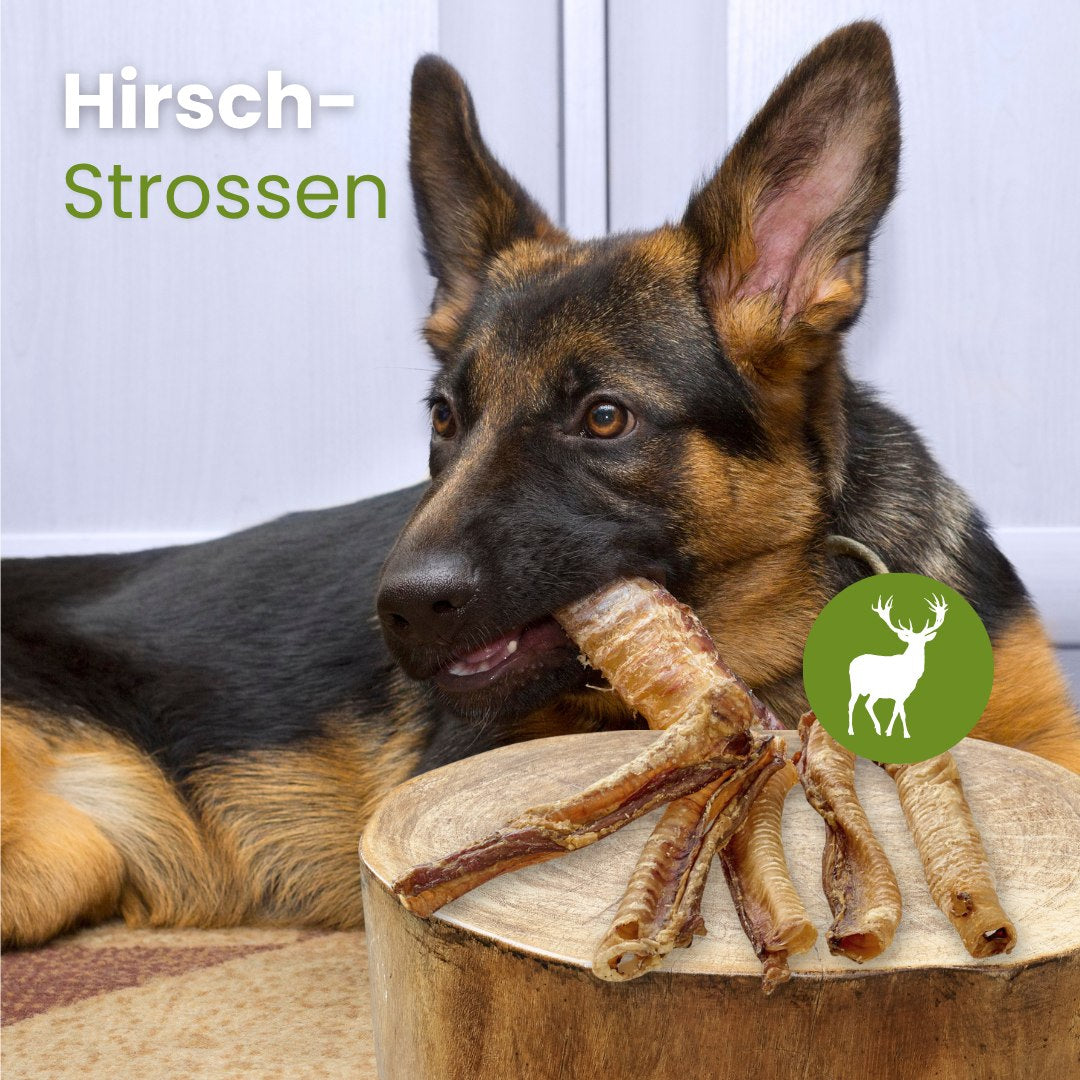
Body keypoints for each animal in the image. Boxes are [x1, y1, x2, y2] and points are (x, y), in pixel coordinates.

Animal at [847, 595, 949, 739]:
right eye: (910, 641)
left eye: (923, 641)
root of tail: (853, 661)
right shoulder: (900, 694)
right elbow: (899, 712)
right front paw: (894, 732)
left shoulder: (902, 695)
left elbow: (899, 712)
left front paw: (898, 732)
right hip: (856, 687)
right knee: (851, 704)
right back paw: (852, 730)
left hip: (875, 692)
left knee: (868, 704)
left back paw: (877, 729)